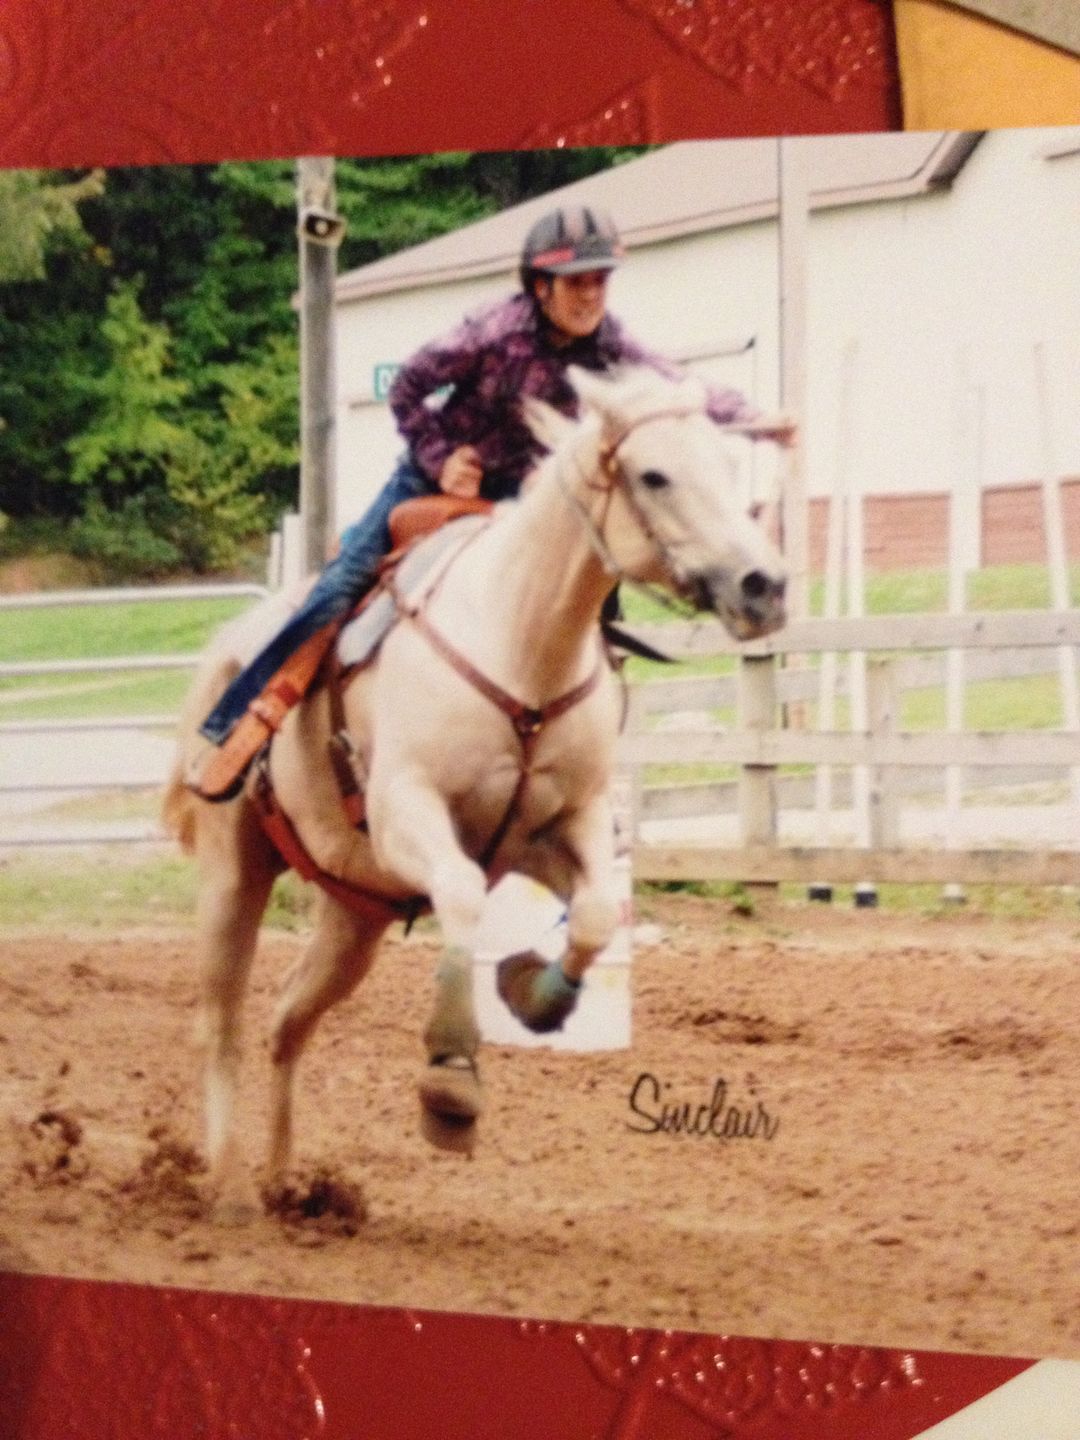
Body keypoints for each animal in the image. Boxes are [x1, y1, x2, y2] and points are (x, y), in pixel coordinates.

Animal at [162, 364, 788, 1218]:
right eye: (654, 474)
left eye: (728, 463)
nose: (765, 585)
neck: (522, 643)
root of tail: (232, 643)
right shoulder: (409, 814)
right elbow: (460, 895)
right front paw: (451, 1083)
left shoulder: (565, 826)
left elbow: (596, 913)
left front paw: (536, 996)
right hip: (234, 875)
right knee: (220, 1024)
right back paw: (229, 1188)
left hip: (354, 915)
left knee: (287, 1021)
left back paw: (286, 1181)